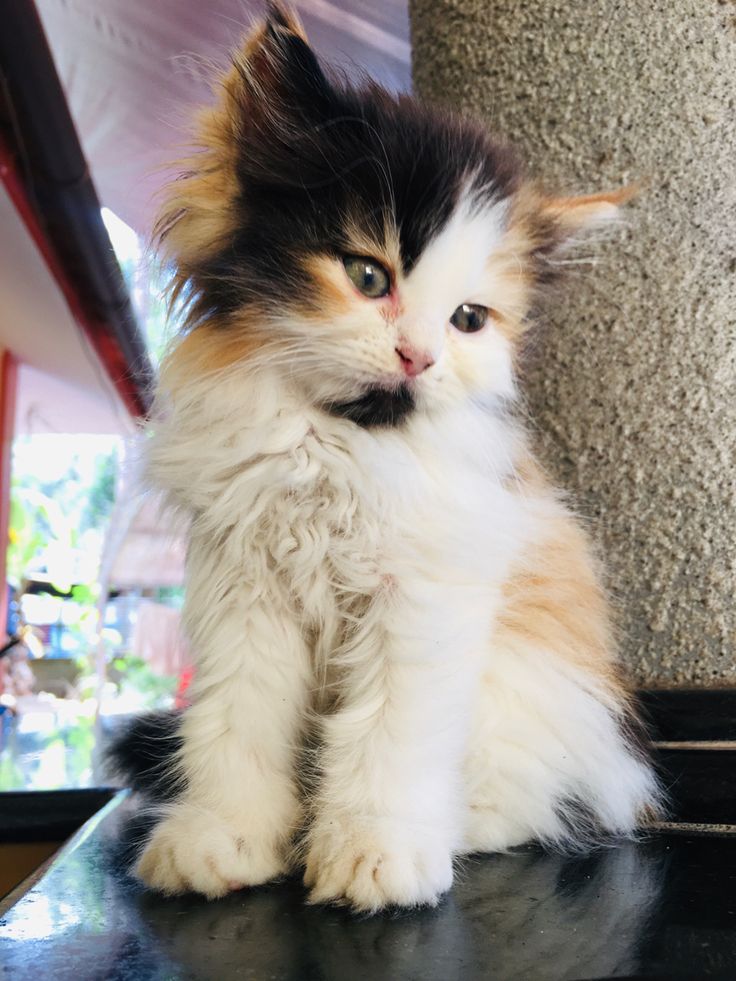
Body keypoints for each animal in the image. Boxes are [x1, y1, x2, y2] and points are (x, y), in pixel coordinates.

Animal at [116, 5, 660, 912]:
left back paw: (459, 825)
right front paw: (226, 836)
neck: (334, 445)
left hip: (531, 688)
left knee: (542, 791)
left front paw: (376, 853)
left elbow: (389, 734)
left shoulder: (423, 597)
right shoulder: (243, 592)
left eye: (469, 318)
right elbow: (235, 722)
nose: (419, 356)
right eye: (368, 275)